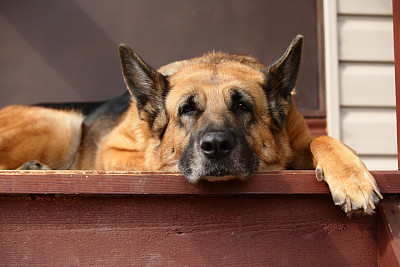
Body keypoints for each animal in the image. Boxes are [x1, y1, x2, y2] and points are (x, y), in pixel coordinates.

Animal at [0, 35, 382, 216]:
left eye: (242, 105)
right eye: (186, 110)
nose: (215, 147)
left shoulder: (300, 138)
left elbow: (323, 139)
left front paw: (351, 177)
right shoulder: (114, 151)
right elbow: (155, 163)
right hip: (63, 123)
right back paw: (32, 169)